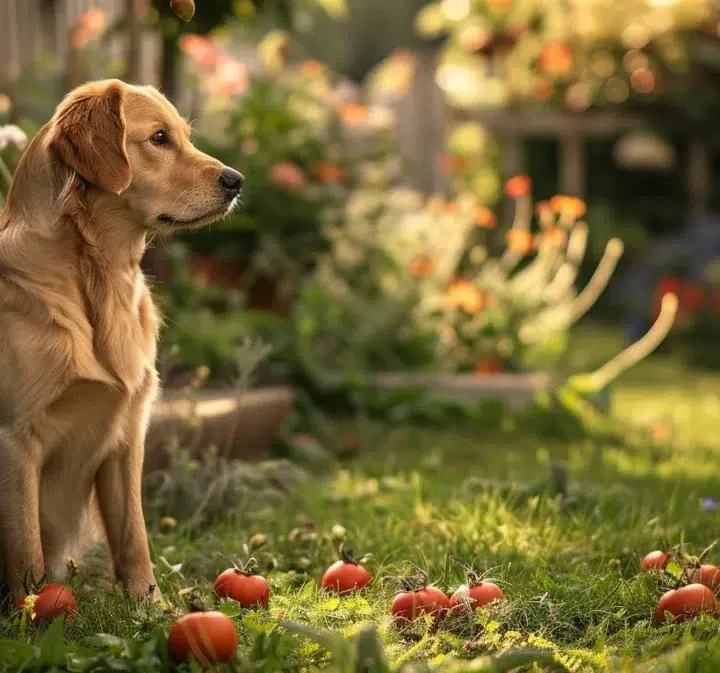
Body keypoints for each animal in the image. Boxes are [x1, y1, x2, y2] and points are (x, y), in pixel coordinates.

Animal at [0, 77, 243, 600]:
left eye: (184, 135)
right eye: (159, 138)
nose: (237, 181)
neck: (100, 277)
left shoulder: (128, 432)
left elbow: (133, 535)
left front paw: (148, 605)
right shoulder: (14, 440)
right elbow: (27, 550)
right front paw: (33, 613)